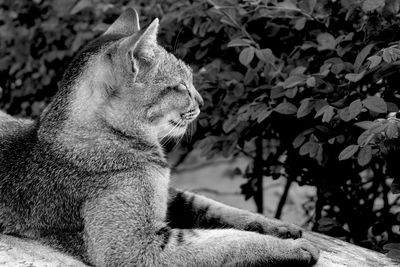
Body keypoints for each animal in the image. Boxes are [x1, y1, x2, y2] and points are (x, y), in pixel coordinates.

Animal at [0, 8, 318, 267]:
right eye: (181, 87)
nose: (202, 101)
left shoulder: (170, 193)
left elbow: (219, 209)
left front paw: (275, 226)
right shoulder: (136, 247)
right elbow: (228, 240)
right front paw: (291, 248)